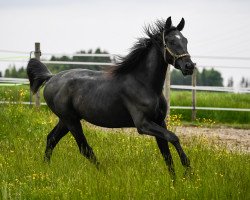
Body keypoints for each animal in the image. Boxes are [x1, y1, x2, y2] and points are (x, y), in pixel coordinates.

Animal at [27, 16, 195, 177]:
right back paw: (105, 174)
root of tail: (50, 78)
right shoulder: (143, 124)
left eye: (186, 40)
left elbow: (166, 154)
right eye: (171, 41)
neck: (144, 83)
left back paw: (45, 170)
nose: (189, 66)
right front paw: (188, 171)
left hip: (66, 120)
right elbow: (174, 138)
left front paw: (175, 181)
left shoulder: (159, 122)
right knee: (84, 148)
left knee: (51, 139)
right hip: (71, 121)